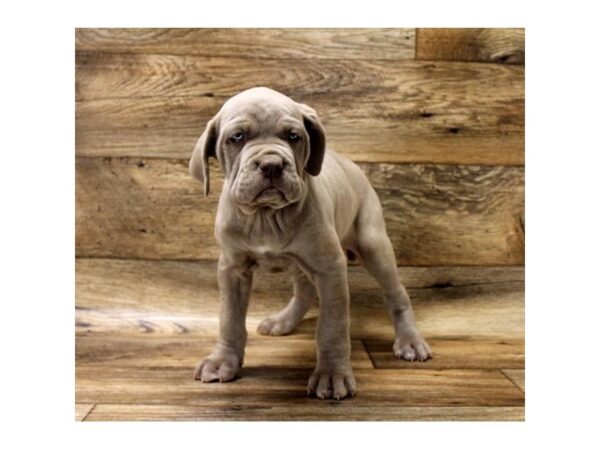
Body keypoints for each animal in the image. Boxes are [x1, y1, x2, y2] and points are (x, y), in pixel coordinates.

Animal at [190, 86, 428, 400]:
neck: (266, 216)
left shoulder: (330, 268)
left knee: (396, 293)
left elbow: (332, 327)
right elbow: (229, 319)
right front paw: (222, 362)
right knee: (303, 291)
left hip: (374, 245)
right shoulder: (232, 269)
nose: (272, 165)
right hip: (300, 263)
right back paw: (283, 321)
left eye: (293, 136)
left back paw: (409, 340)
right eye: (237, 137)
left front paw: (332, 375)